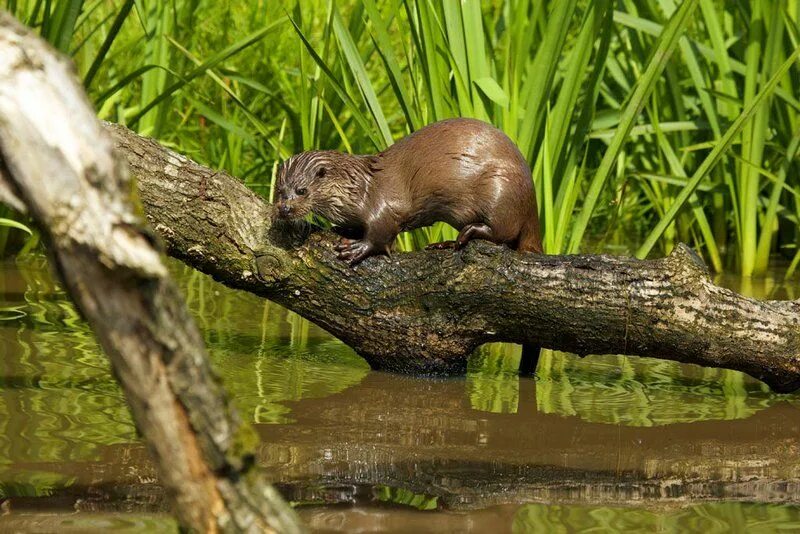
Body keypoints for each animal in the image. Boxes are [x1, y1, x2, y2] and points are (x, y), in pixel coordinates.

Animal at [276, 119, 544, 266]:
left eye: (301, 190)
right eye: (279, 191)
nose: (284, 209)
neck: (358, 187)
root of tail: (532, 203)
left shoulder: (382, 203)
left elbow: (383, 230)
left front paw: (358, 248)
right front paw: (343, 230)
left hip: (501, 189)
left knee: (503, 232)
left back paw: (468, 234)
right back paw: (445, 244)